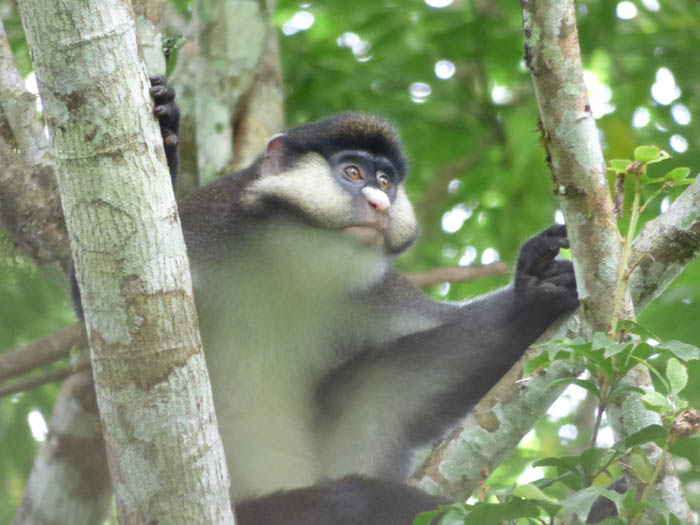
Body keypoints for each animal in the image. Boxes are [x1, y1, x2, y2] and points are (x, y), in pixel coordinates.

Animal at [75, 78, 580, 524]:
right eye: (352, 173)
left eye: (385, 180)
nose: (380, 204)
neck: (288, 260)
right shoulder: (205, 228)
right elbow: (113, 301)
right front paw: (165, 130)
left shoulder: (379, 293)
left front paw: (532, 291)